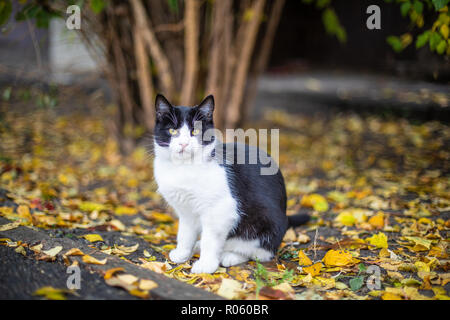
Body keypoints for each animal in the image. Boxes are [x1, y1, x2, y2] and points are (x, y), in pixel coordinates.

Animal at [152, 94, 310, 274]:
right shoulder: (185, 210)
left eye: (195, 131)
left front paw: (206, 265)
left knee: (259, 252)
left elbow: (210, 239)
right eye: (173, 131)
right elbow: (185, 233)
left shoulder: (221, 209)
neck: (183, 168)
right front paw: (182, 253)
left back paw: (230, 256)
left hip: (265, 222)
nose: (184, 144)